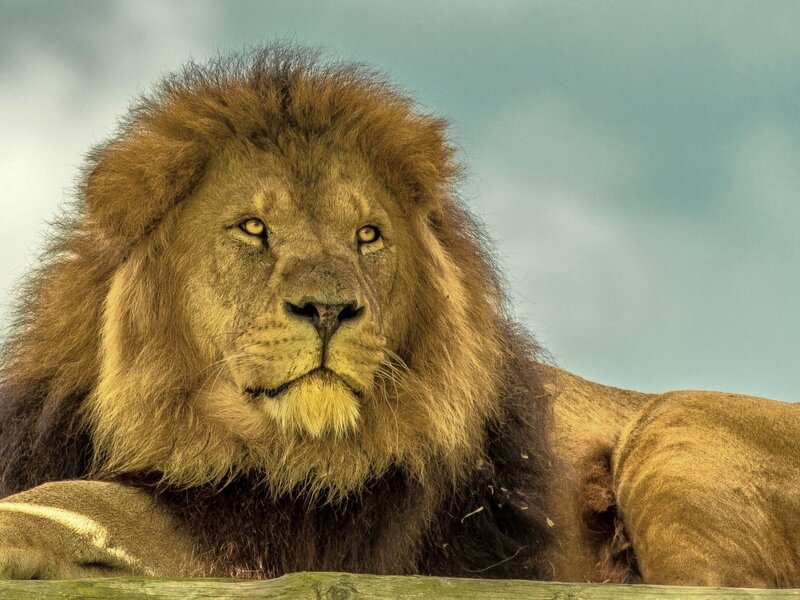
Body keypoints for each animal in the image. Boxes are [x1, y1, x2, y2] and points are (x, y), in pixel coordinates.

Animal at [0, 45, 797, 587]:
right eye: (253, 228)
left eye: (367, 235)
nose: (330, 308)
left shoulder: (278, 541)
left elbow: (94, 502)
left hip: (672, 423)